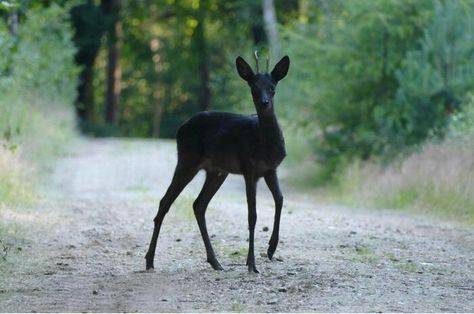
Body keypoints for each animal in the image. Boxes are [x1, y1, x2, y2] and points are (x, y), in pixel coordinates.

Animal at [146, 53, 290, 272]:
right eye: (253, 88)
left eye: (273, 87)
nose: (265, 102)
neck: (263, 143)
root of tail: (181, 128)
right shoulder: (249, 168)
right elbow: (252, 215)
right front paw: (251, 264)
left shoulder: (270, 169)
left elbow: (280, 199)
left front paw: (271, 249)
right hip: (187, 159)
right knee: (166, 202)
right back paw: (149, 260)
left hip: (217, 170)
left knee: (199, 204)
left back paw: (215, 262)